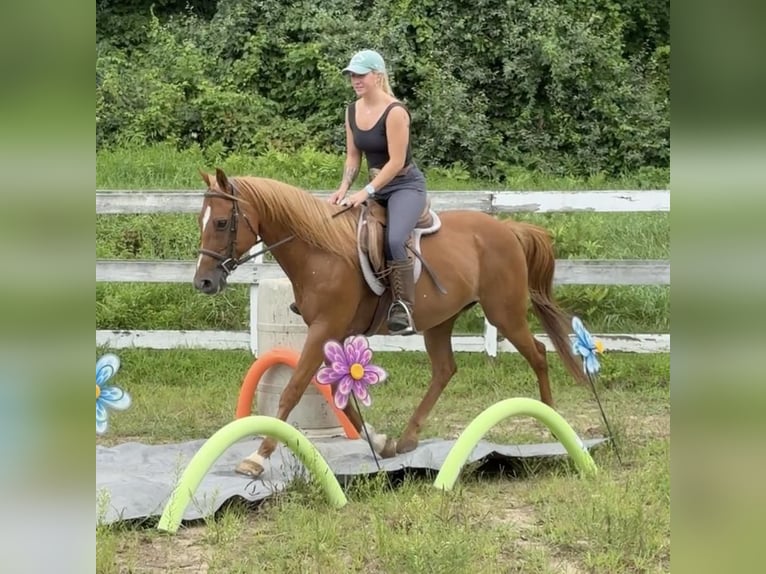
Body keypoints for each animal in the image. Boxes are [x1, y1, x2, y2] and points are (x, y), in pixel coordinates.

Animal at [192, 169, 588, 480]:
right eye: (202, 221)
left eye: (222, 222)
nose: (203, 282)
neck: (319, 251)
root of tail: (507, 229)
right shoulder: (332, 334)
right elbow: (337, 393)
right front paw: (380, 442)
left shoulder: (324, 328)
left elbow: (293, 389)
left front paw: (257, 456)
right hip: (441, 320)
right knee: (445, 369)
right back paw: (409, 437)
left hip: (503, 313)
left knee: (538, 353)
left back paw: (554, 423)